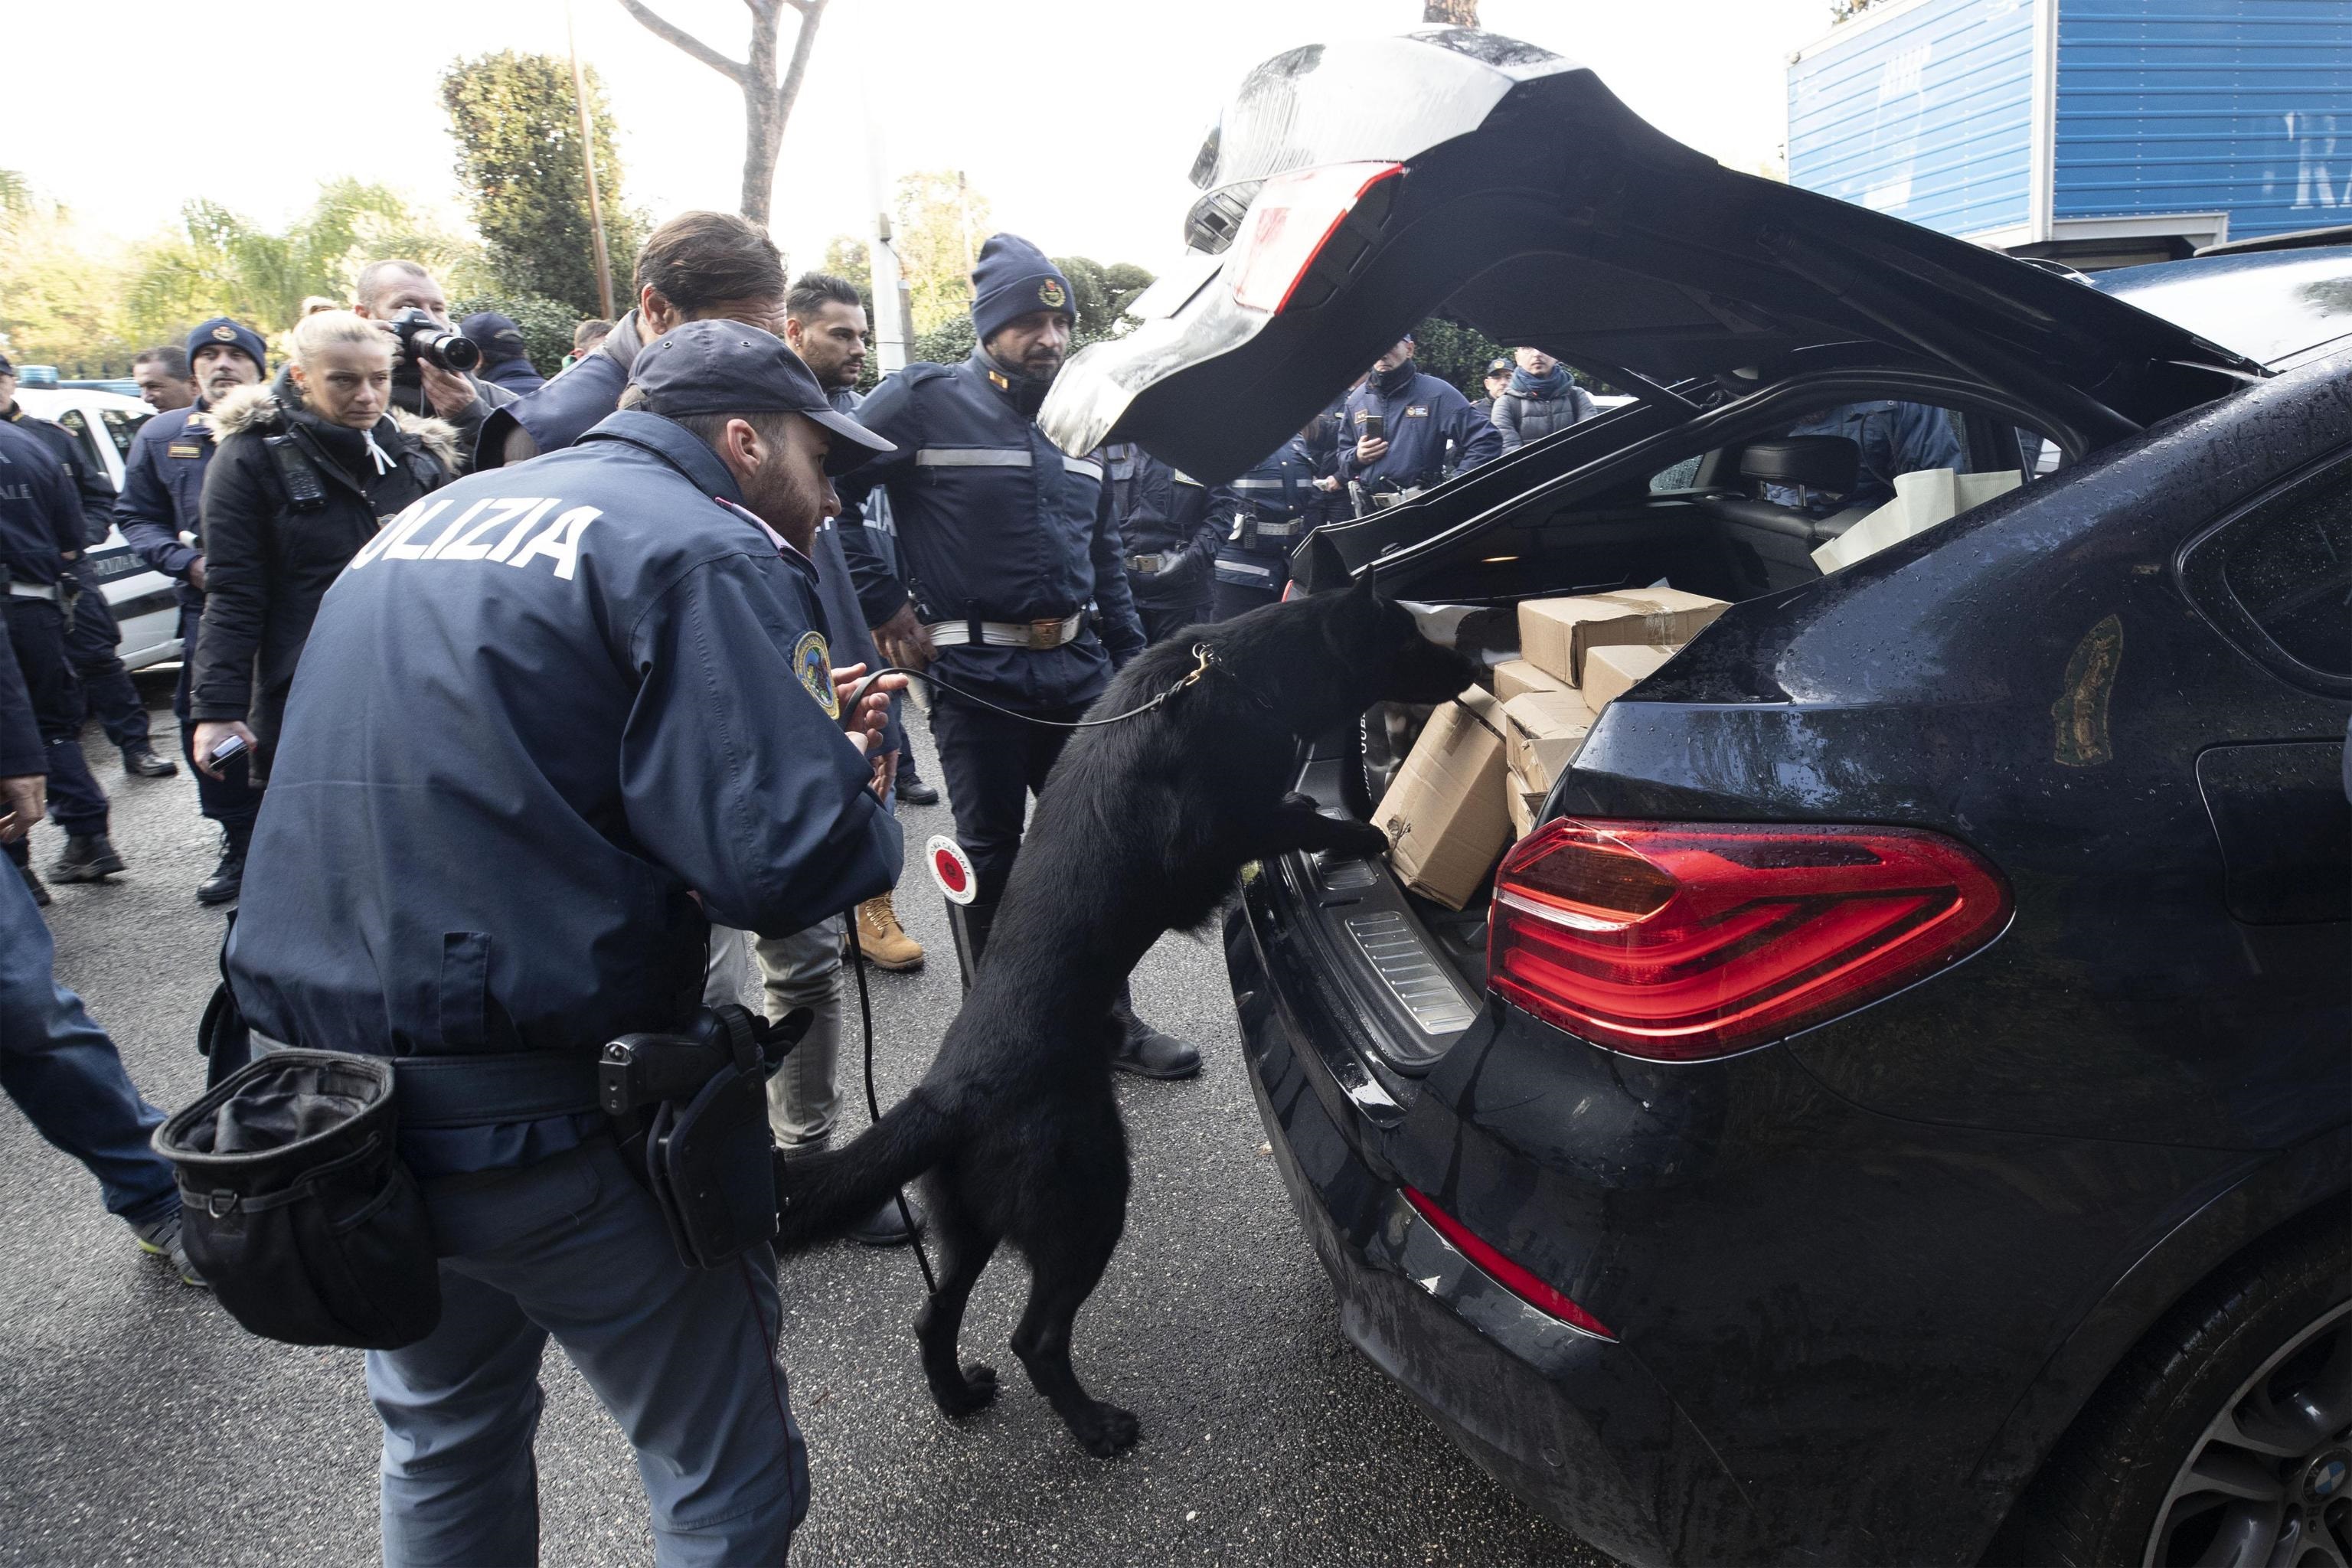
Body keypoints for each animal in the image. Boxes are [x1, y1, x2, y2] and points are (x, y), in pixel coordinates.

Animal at [776, 576, 1467, 1457]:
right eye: (1407, 639)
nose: (1475, 657)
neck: (1239, 672)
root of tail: (948, 1095)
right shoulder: (1223, 833)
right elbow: (1297, 812)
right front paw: (1363, 830)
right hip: (1088, 1197)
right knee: (1035, 1336)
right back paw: (1095, 1425)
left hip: (972, 1224)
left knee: (934, 1315)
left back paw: (959, 1397)